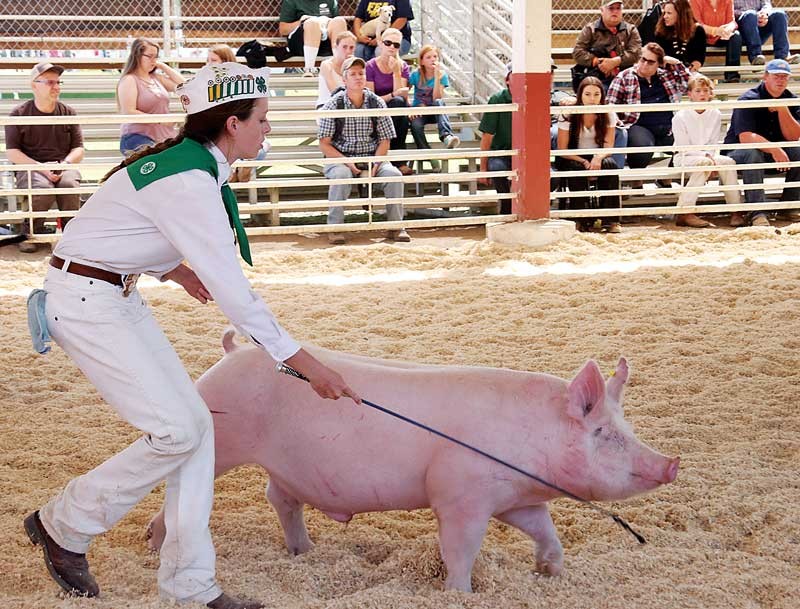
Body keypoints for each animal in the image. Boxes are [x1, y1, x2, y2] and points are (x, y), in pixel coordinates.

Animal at [148, 330, 676, 592]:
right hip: (225, 435)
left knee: (279, 498)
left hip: (285, 466)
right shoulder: (459, 495)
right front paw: (460, 593)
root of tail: (232, 352)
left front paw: (551, 573)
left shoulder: (514, 498)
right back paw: (154, 544)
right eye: (604, 434)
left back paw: (306, 552)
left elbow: (546, 531)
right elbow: (460, 549)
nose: (670, 464)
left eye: (629, 428)